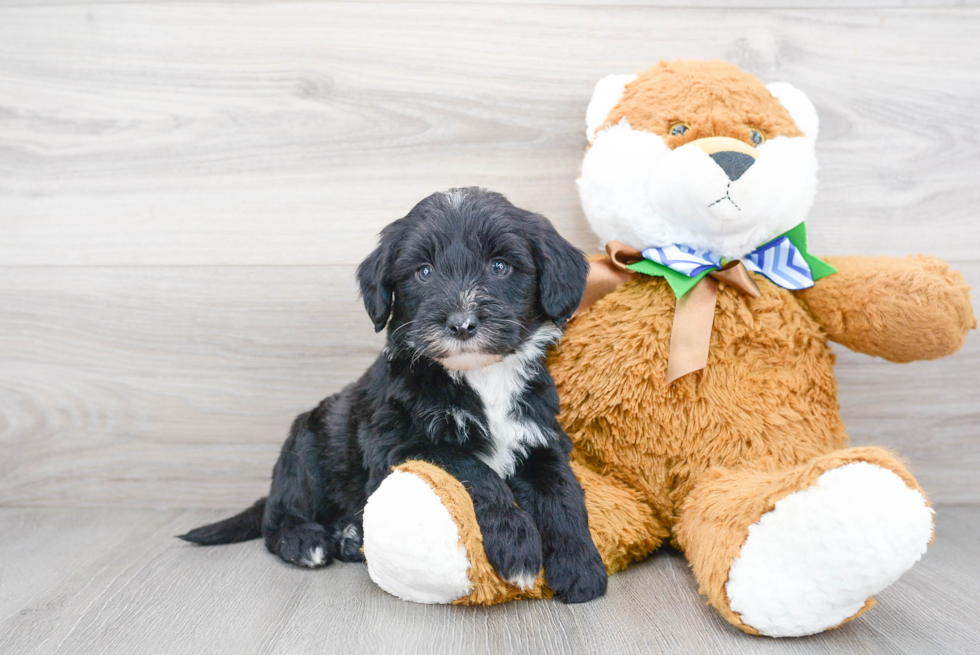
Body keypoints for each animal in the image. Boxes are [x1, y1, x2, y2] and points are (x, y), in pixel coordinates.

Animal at [178, 188, 604, 604]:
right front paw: (518, 544)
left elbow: (563, 494)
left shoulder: (539, 437)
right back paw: (305, 541)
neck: (480, 376)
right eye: (424, 272)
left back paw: (350, 536)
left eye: (500, 267)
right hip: (305, 448)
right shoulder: (398, 445)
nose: (461, 324)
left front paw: (581, 565)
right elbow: (471, 469)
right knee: (279, 516)